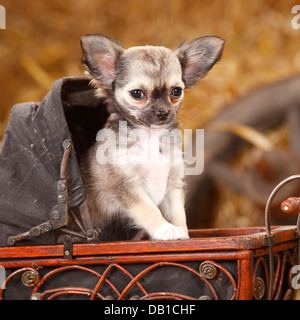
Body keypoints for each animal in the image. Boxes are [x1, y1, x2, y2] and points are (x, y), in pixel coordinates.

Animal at [78, 33, 224, 241]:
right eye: (137, 93)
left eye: (176, 91)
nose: (163, 112)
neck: (150, 136)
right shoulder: (127, 186)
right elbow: (149, 211)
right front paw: (166, 230)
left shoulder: (173, 183)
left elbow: (178, 213)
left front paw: (183, 233)